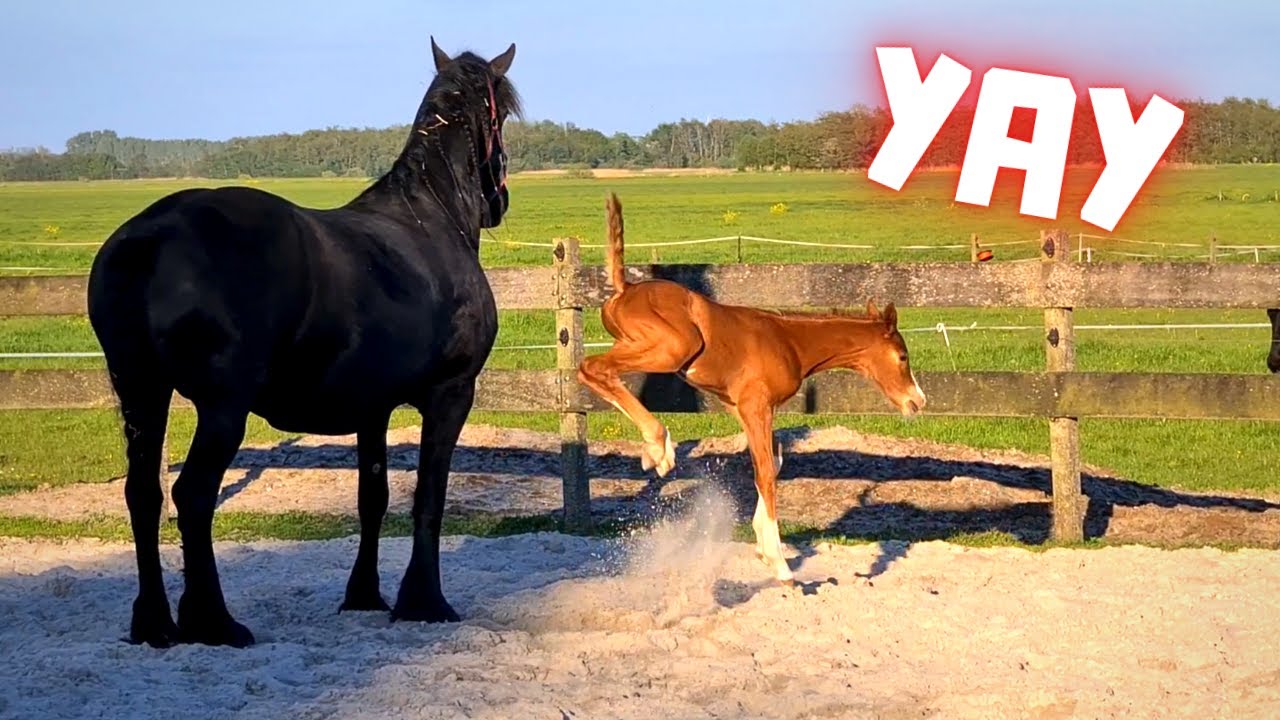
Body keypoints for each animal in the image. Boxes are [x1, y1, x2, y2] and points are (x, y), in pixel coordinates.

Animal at [85, 38, 521, 648]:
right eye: (500, 116)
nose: (498, 200)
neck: (432, 218)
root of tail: (151, 235)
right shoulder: (451, 394)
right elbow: (428, 498)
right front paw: (425, 601)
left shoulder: (372, 409)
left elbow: (373, 499)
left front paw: (364, 596)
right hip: (221, 409)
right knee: (193, 496)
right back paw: (213, 620)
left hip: (141, 391)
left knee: (143, 494)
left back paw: (154, 623)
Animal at [577, 193, 928, 586]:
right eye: (902, 356)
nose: (917, 401)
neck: (789, 341)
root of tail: (625, 289)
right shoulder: (757, 405)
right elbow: (766, 472)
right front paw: (780, 563)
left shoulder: (739, 407)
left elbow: (769, 465)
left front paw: (762, 546)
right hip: (673, 348)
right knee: (593, 367)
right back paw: (659, 447)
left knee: (594, 372)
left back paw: (655, 449)